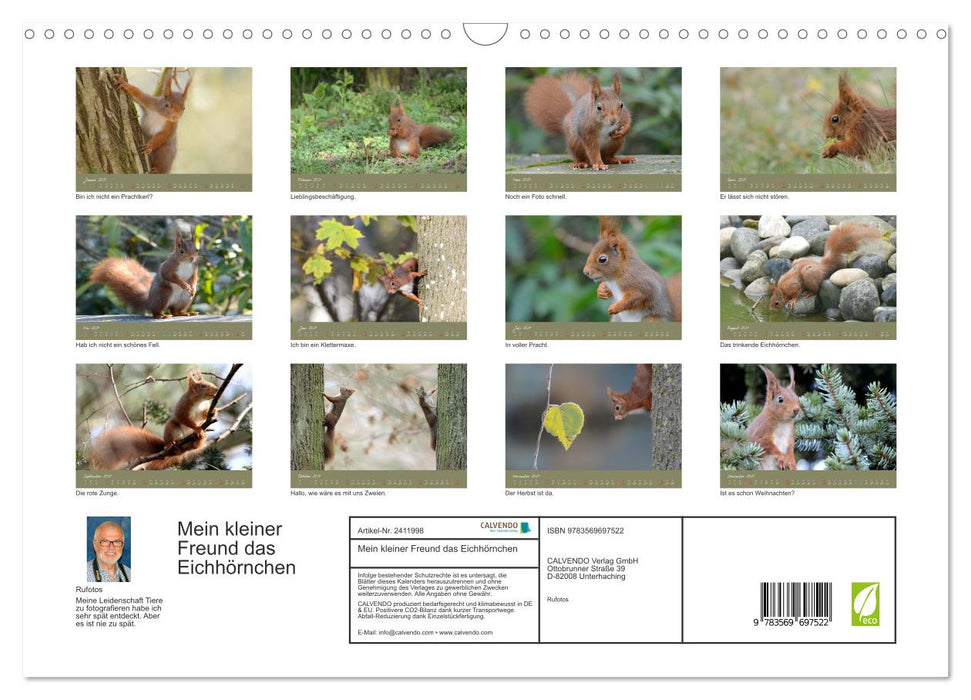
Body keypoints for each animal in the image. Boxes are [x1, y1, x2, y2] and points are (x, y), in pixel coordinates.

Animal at [89, 370, 219, 471]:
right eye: (202, 386)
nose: (217, 389)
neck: (199, 402)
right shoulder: (182, 408)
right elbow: (184, 419)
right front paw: (197, 428)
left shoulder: (201, 410)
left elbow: (203, 416)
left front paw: (213, 411)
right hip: (172, 428)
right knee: (174, 441)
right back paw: (171, 443)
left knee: (195, 446)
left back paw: (200, 438)